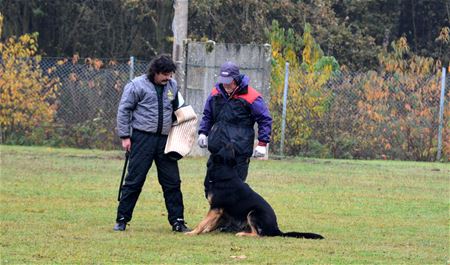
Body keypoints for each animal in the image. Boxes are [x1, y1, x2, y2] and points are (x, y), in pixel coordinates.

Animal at [185, 144, 326, 239]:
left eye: (226, 149)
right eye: (229, 150)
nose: (231, 142)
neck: (224, 172)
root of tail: (276, 230)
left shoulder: (215, 208)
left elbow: (202, 223)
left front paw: (193, 232)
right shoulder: (220, 211)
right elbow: (210, 224)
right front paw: (205, 231)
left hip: (253, 213)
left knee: (258, 234)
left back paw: (242, 234)